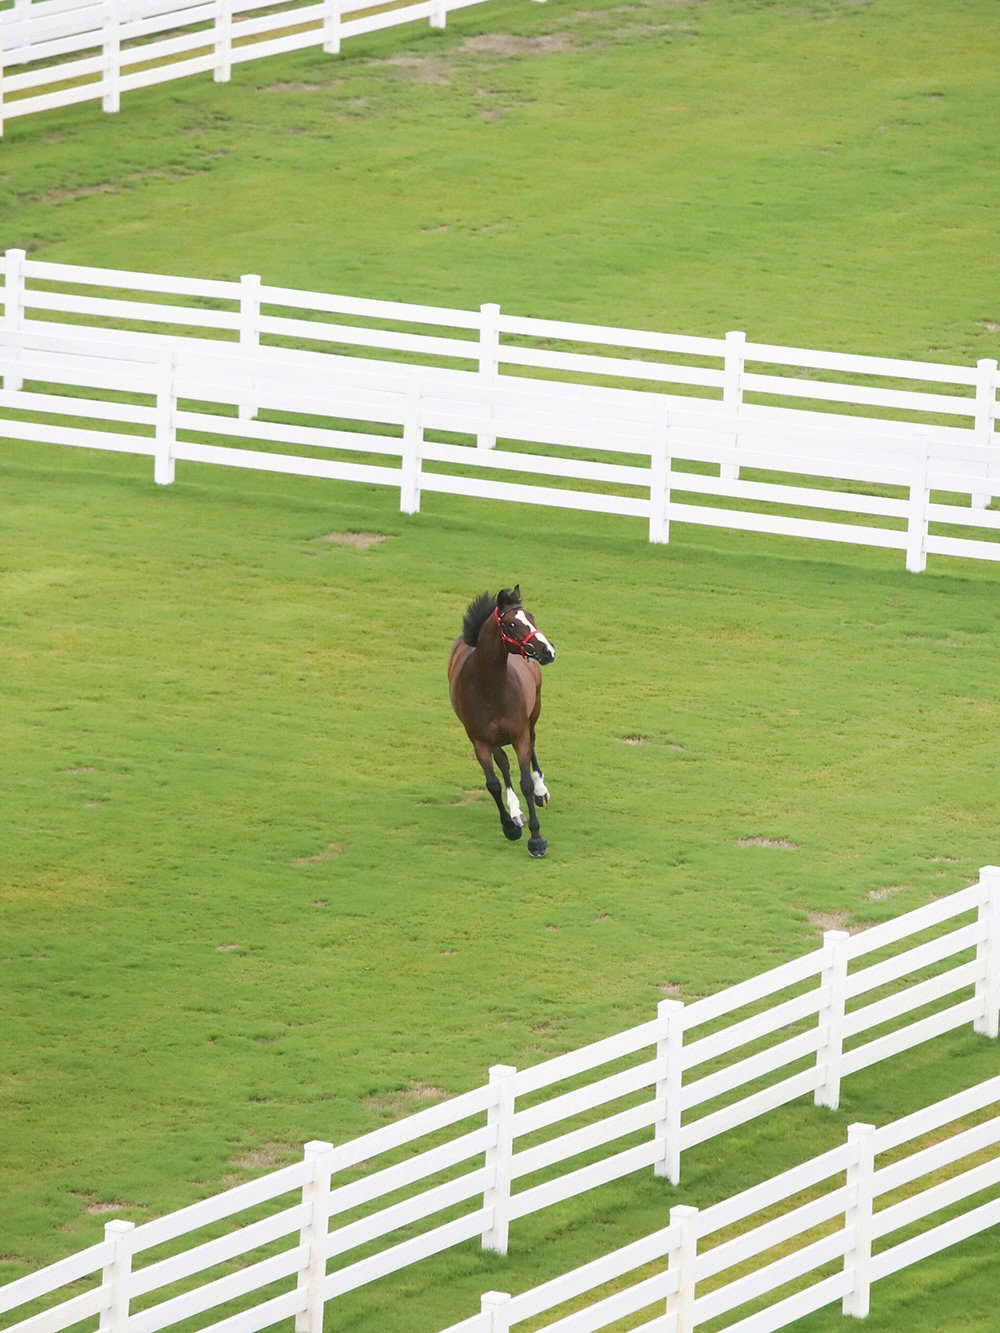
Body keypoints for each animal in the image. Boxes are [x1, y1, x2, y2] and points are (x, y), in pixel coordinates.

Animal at [450, 586, 560, 858]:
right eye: (511, 623)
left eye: (530, 617)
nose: (548, 650)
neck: (489, 687)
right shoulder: (479, 741)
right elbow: (494, 783)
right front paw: (510, 826)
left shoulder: (519, 735)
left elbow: (525, 783)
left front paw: (536, 840)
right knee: (503, 764)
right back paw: (515, 812)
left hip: (533, 714)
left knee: (533, 744)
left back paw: (541, 791)